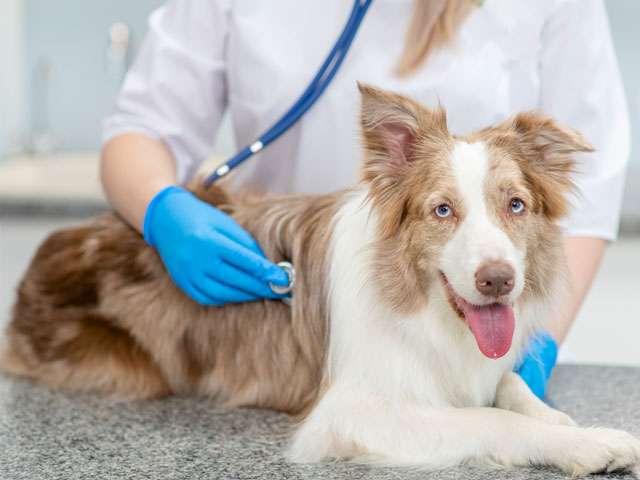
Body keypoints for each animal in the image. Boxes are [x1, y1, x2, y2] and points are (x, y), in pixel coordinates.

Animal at [1, 83, 640, 476]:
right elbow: (490, 419)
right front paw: (584, 442)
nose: (498, 281)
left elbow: (509, 386)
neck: (428, 311)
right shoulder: (349, 413)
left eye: (515, 205)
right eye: (442, 211)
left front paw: (570, 422)